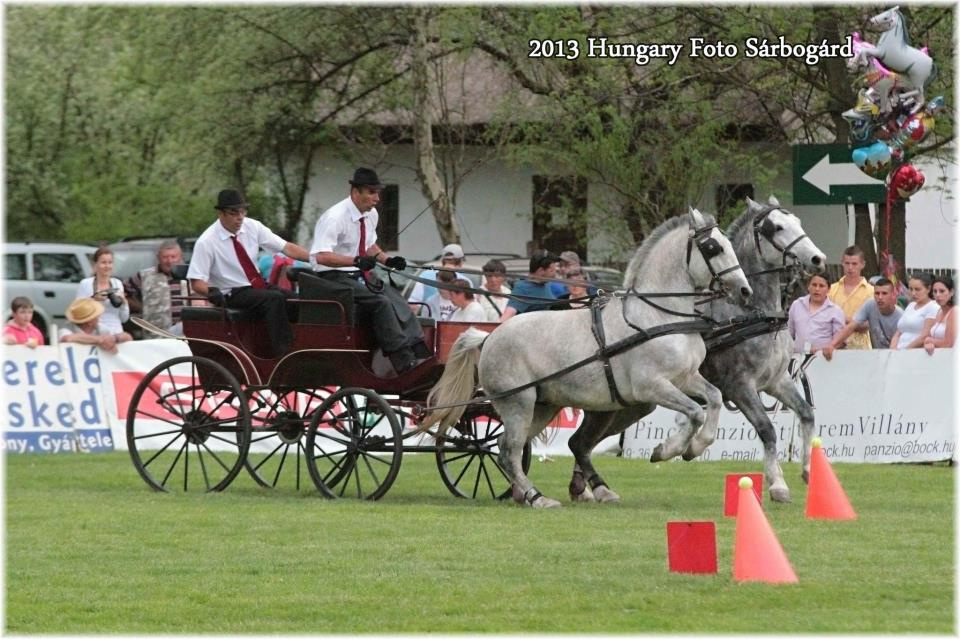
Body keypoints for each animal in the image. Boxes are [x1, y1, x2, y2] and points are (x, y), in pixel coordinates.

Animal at [424, 210, 752, 510]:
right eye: (713, 247)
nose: (745, 291)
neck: (658, 316)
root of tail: (489, 337)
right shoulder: (652, 386)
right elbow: (695, 411)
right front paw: (666, 450)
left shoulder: (685, 377)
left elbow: (714, 397)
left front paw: (695, 447)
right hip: (518, 402)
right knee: (508, 449)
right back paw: (538, 498)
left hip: (542, 405)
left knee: (512, 447)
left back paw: (534, 494)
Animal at [568, 195, 824, 504]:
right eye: (776, 227)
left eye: (797, 221)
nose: (818, 259)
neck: (746, 314)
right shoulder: (739, 386)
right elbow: (767, 429)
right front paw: (777, 485)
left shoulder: (776, 381)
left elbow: (806, 413)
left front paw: (809, 471)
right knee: (580, 442)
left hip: (626, 406)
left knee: (582, 442)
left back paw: (584, 489)